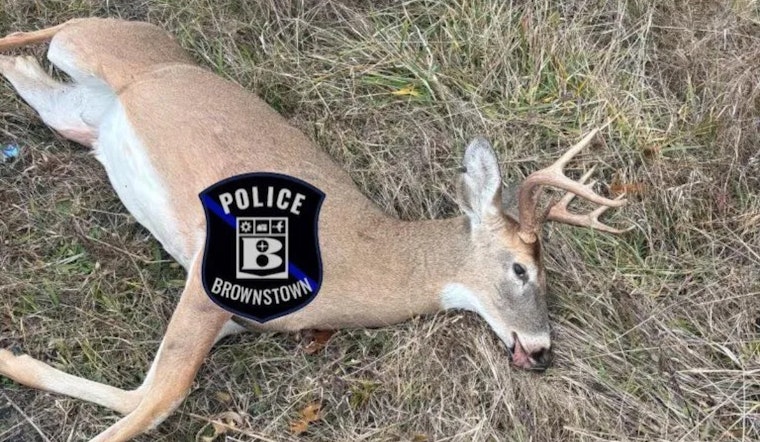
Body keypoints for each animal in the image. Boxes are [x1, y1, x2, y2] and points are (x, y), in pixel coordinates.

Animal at [0, 18, 629, 441]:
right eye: (521, 268)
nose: (542, 351)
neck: (365, 258)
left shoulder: (233, 320)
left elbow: (141, 393)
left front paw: (13, 360)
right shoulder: (212, 274)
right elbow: (161, 397)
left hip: (72, 114)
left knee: (26, 71)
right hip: (86, 43)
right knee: (40, 30)